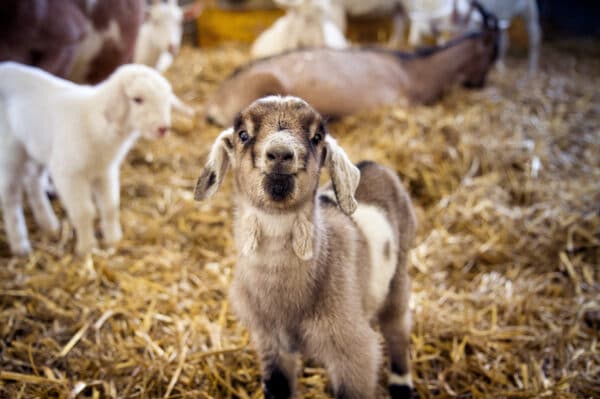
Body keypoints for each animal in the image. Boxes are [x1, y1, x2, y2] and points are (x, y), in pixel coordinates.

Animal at [0, 62, 180, 256]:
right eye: (137, 99)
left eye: (166, 99)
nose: (163, 128)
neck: (95, 124)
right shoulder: (68, 175)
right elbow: (84, 211)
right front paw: (87, 247)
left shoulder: (105, 171)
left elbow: (110, 206)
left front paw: (114, 239)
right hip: (10, 152)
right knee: (10, 196)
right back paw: (20, 245)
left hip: (36, 147)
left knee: (33, 181)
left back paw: (49, 224)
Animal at [197, 96, 418, 396]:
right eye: (243, 134)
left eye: (316, 137)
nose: (280, 154)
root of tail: (373, 164)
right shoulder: (270, 342)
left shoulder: (354, 352)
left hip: (400, 271)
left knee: (397, 327)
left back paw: (401, 383)